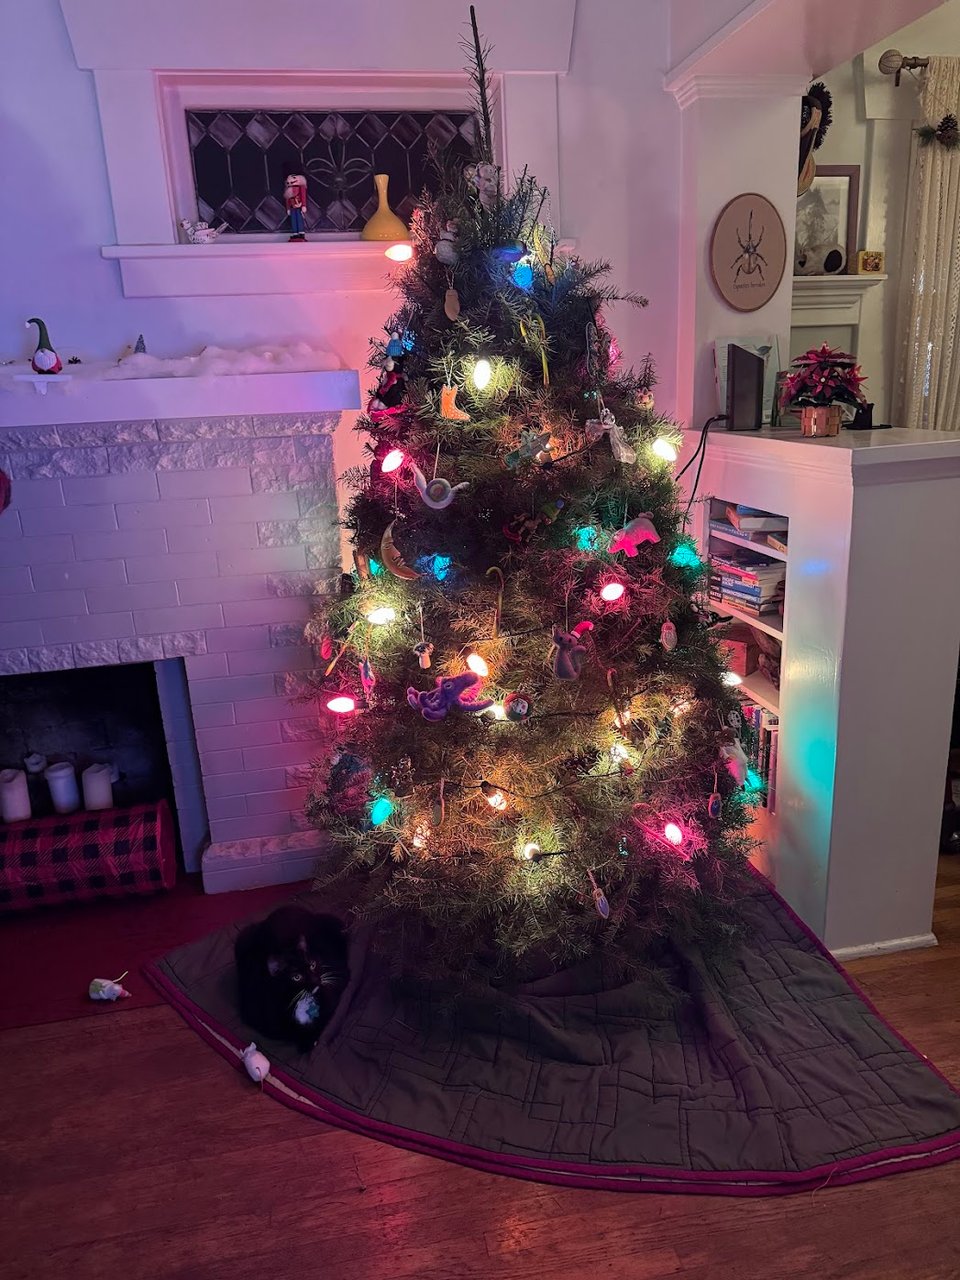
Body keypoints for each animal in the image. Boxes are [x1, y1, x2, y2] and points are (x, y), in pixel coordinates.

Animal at [234, 905, 349, 1053]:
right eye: (296, 977)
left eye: (312, 965)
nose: (316, 980)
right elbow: (290, 1032)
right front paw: (306, 1041)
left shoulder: (336, 983)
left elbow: (326, 1016)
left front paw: (311, 1040)